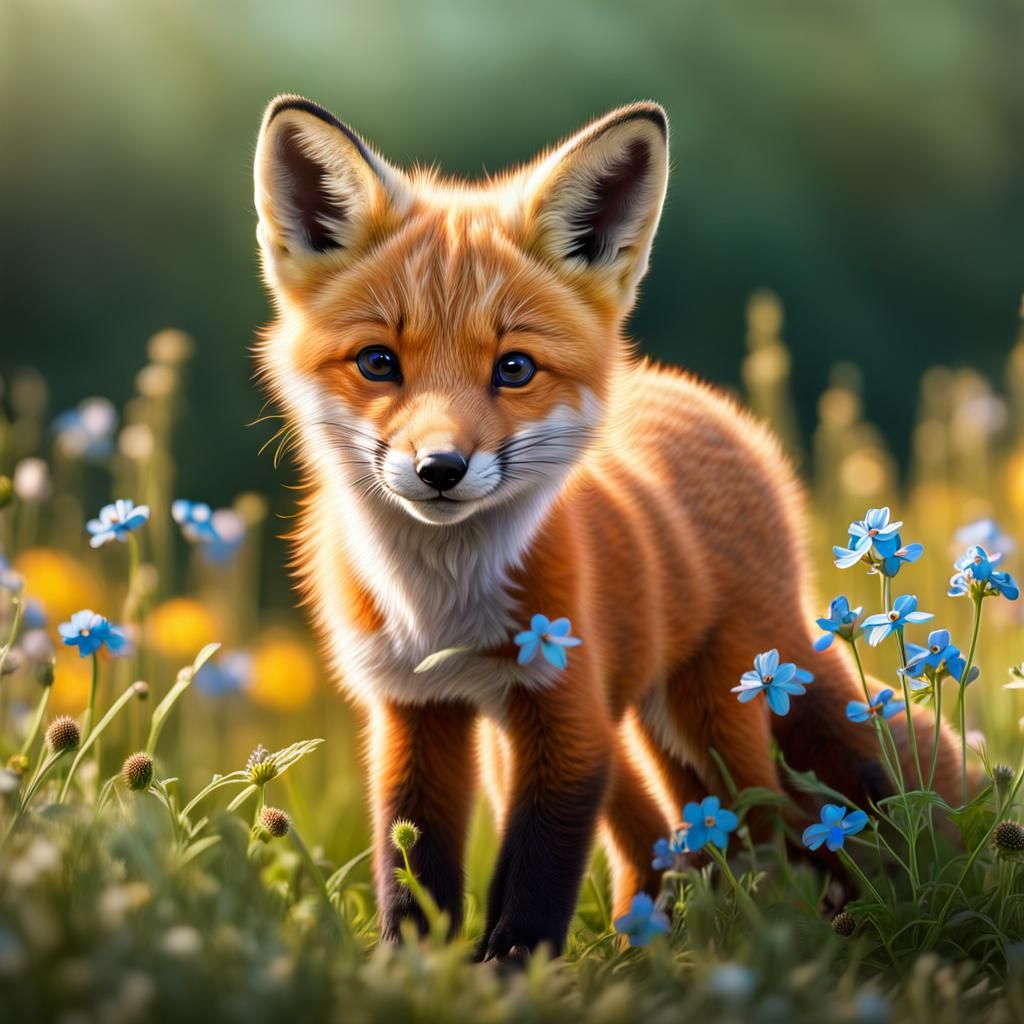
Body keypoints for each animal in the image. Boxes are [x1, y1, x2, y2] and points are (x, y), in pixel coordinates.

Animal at [252, 95, 962, 960]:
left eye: (515, 368)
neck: (442, 605)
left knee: (768, 821)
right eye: (378, 362)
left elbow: (538, 875)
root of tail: (700, 400)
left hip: (720, 708)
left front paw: (508, 969)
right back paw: (656, 933)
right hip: (593, 730)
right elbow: (413, 865)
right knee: (663, 836)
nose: (440, 468)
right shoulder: (416, 710)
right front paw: (412, 967)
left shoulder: (564, 713)